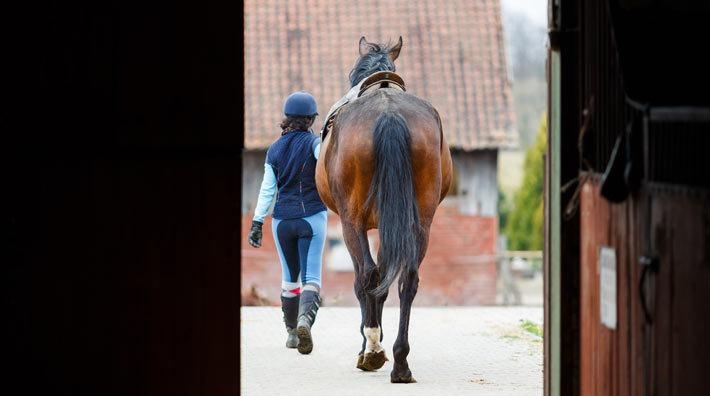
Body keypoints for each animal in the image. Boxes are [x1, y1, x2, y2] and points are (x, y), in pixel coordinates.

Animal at [318, 37, 456, 384]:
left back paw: (373, 351)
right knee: (408, 279)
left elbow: (369, 279)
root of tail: (389, 112)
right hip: (420, 223)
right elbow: (385, 278)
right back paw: (401, 362)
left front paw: (368, 345)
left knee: (366, 275)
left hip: (351, 222)